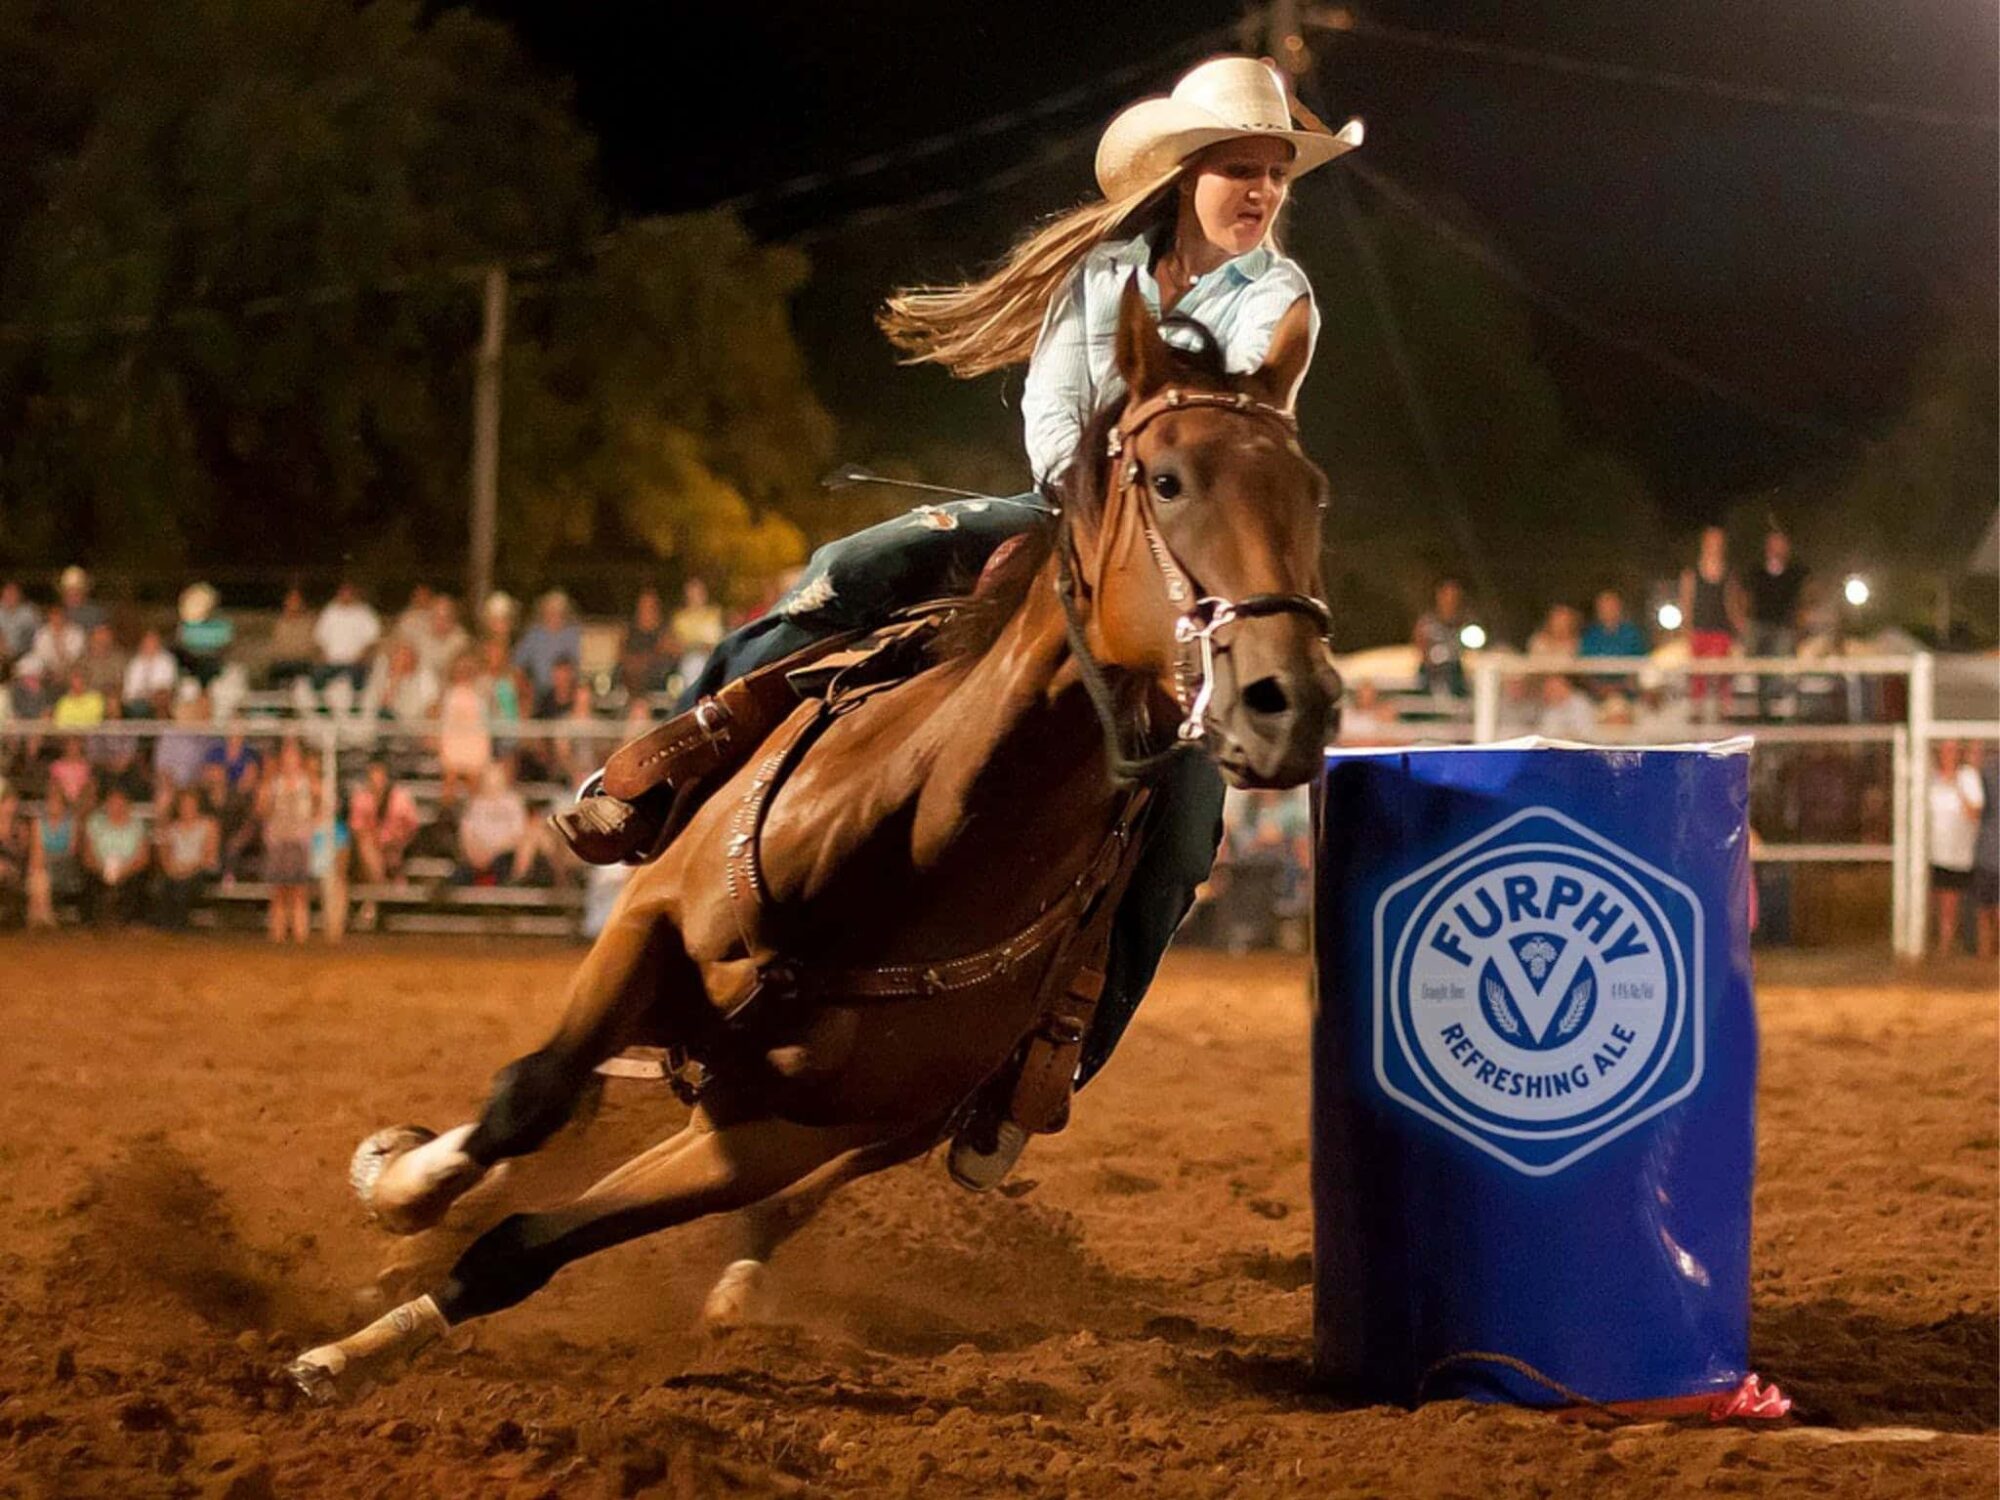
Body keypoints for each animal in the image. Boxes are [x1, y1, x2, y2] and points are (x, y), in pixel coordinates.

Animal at [286, 288, 1344, 1408]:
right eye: (1168, 479)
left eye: (1310, 495)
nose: (1287, 700)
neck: (913, 844)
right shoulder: (649, 928)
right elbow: (526, 1096)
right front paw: (396, 1197)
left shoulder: (780, 1135)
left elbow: (529, 1245)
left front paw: (360, 1340)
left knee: (781, 1200)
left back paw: (740, 1287)